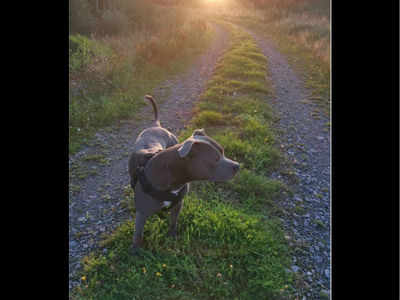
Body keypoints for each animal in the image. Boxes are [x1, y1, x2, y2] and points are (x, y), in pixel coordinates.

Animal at [129, 94, 241, 253]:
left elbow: (173, 222)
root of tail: (156, 126)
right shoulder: (142, 213)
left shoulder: (178, 204)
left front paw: (172, 236)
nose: (237, 166)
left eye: (223, 152)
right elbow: (138, 235)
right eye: (215, 159)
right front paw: (135, 251)